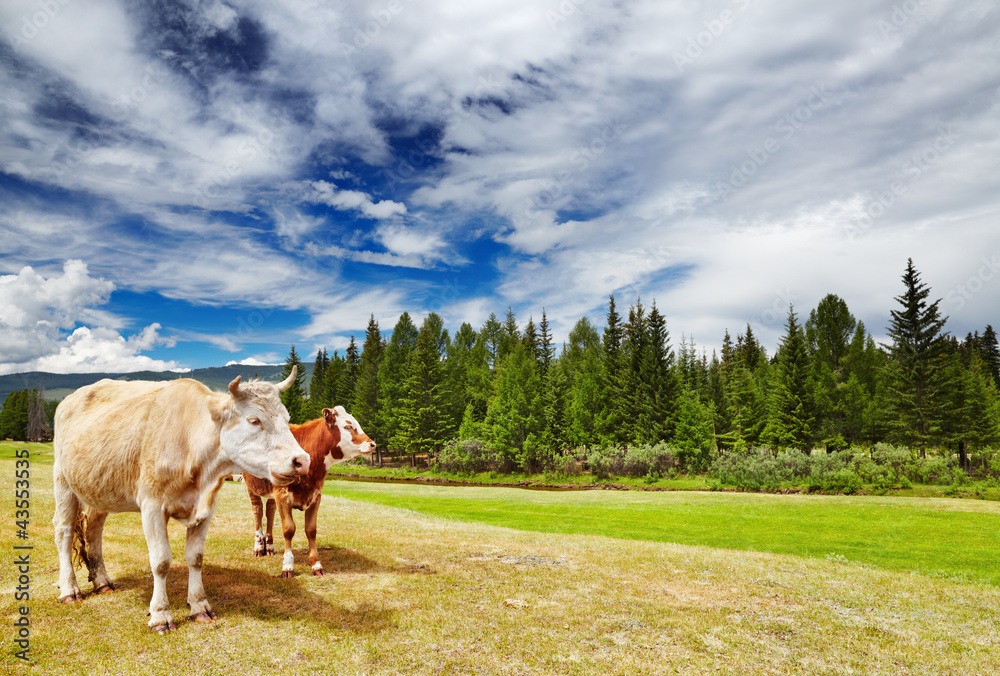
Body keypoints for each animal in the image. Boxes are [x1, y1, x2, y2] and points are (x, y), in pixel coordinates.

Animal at [50, 368, 306, 632]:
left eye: (286, 418)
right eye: (254, 420)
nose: (301, 460)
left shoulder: (206, 509)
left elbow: (196, 558)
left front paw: (199, 606)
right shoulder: (152, 506)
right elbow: (161, 561)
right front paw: (161, 615)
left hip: (99, 489)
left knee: (94, 529)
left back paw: (102, 582)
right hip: (63, 480)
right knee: (64, 531)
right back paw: (69, 589)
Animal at [244, 404, 376, 580]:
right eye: (347, 426)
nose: (372, 444)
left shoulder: (315, 496)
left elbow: (311, 530)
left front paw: (316, 564)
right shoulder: (283, 495)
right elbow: (288, 529)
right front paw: (287, 566)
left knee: (270, 511)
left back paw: (269, 547)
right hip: (251, 487)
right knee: (257, 511)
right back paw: (259, 548)